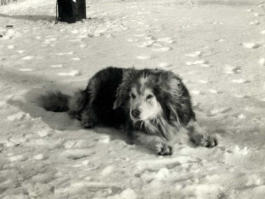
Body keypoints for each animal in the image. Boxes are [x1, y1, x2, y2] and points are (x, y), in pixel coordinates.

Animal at [40, 66, 216, 155]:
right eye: (132, 96)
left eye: (149, 96)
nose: (134, 113)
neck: (160, 117)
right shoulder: (134, 126)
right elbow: (149, 136)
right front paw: (162, 145)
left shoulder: (185, 113)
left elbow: (195, 126)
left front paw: (206, 138)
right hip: (96, 85)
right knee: (85, 106)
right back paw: (88, 119)